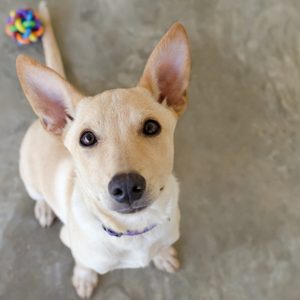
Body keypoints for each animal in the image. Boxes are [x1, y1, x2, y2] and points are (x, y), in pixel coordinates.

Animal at [15, 1, 190, 298]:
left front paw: (162, 254)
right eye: (86, 138)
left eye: (151, 127)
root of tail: (42, 123)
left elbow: (162, 247)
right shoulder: (74, 245)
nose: (127, 186)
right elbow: (83, 263)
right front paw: (84, 277)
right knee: (38, 195)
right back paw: (44, 209)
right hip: (30, 178)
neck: (134, 231)